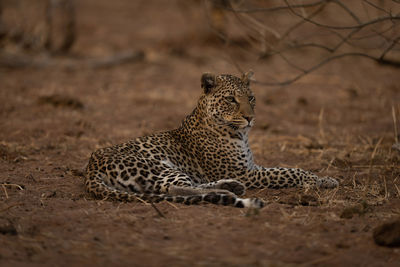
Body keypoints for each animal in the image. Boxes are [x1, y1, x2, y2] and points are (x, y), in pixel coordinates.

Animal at [84, 71, 338, 209]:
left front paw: (325, 179)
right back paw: (228, 193)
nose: (250, 118)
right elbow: (289, 171)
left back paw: (230, 188)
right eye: (231, 99)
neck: (240, 135)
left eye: (251, 98)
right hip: (157, 166)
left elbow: (285, 168)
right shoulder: (244, 172)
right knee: (175, 188)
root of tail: (90, 168)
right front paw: (316, 180)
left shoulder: (251, 168)